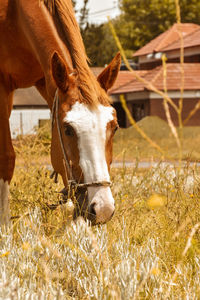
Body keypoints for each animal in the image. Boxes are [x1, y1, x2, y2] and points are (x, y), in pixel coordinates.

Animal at [0, 0, 120, 225]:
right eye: (68, 129)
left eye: (114, 127)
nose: (102, 208)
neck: (13, 13)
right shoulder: (2, 87)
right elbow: (6, 159)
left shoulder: (47, 80)